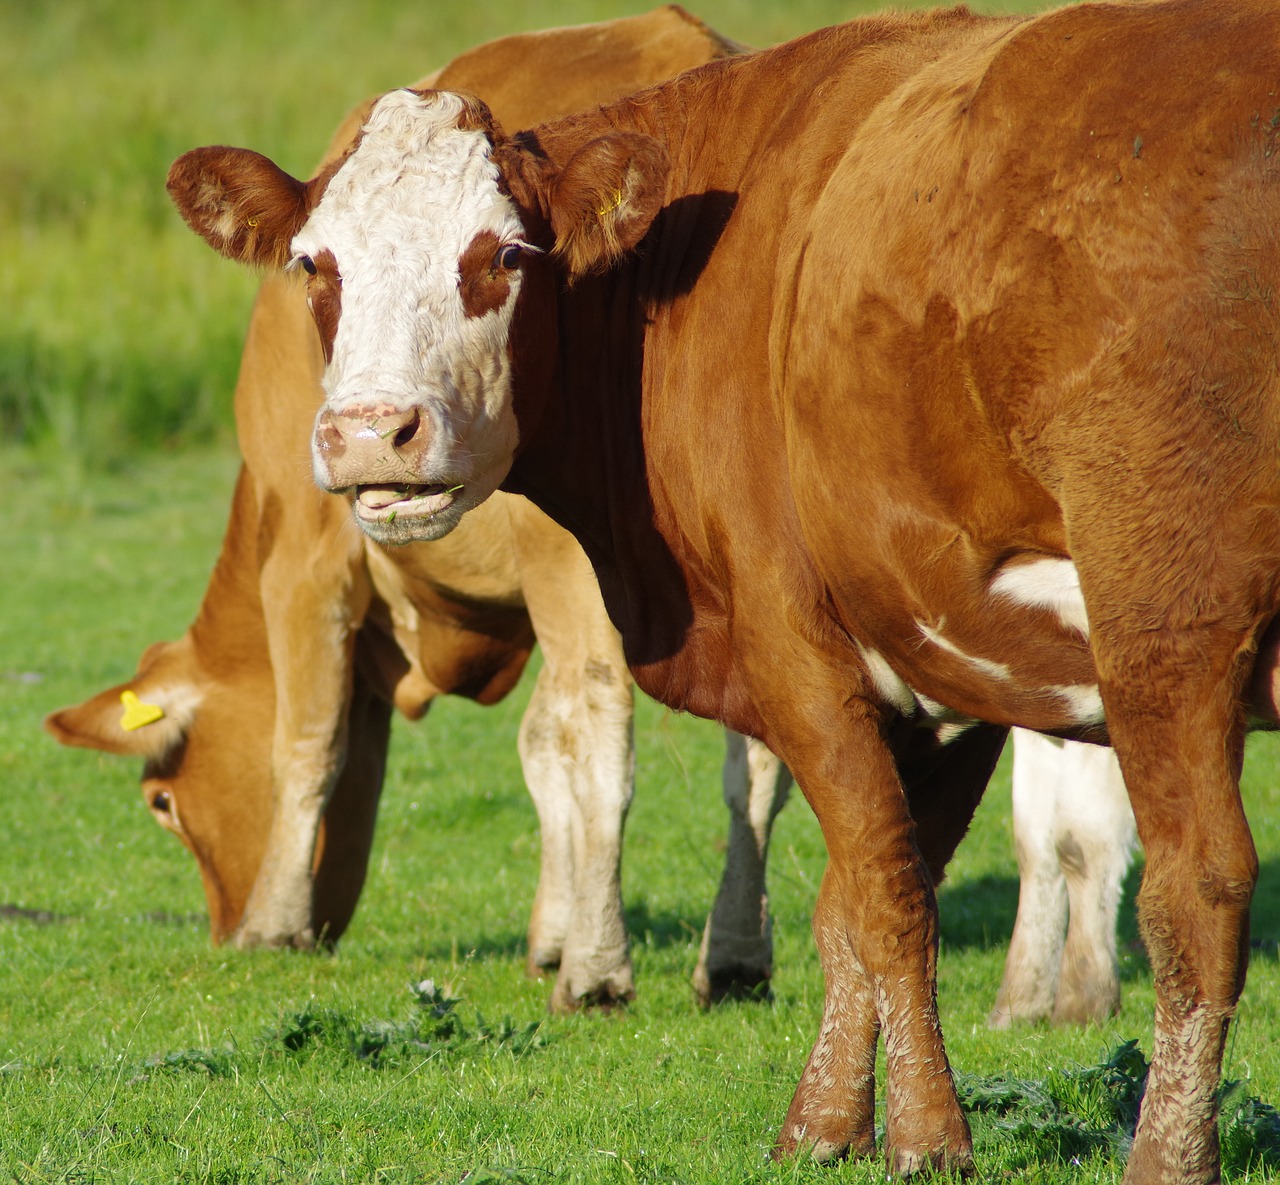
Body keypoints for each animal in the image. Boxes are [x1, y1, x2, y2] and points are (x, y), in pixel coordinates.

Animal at [45, 4, 757, 1013]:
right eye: (313, 261)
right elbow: (544, 749)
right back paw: (732, 952)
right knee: (752, 757)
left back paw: (601, 970)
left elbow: (309, 737)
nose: (370, 433)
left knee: (606, 724)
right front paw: (550, 932)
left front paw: (273, 925)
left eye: (162, 802)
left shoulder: (306, 553)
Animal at [165, 2, 1280, 1177]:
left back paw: (1167, 1152)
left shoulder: (798, 646)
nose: (372, 433)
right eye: (312, 262)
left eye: (504, 254)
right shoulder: (949, 665)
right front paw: (823, 1122)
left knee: (1198, 891)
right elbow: (859, 897)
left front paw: (925, 1135)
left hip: (1164, 629)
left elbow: (885, 895)